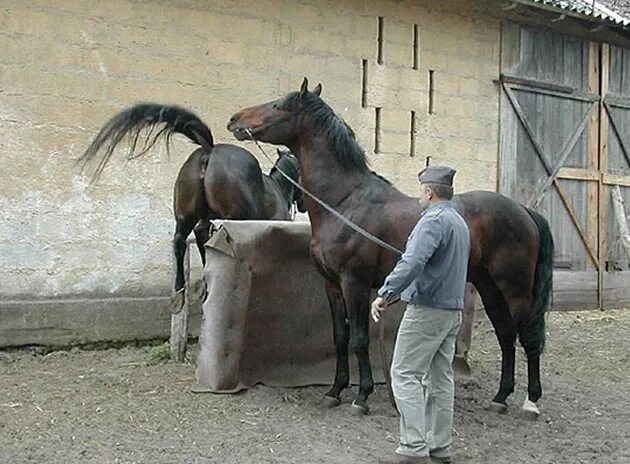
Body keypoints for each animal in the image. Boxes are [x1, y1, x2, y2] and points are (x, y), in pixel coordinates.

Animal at [79, 103, 306, 310]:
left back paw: (183, 291)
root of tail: (209, 150)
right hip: (234, 217)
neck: (278, 187)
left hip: (187, 214)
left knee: (185, 239)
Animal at [227, 79, 552, 416]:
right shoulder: (331, 285)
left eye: (279, 105)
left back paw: (531, 401)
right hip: (489, 286)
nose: (235, 120)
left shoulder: (354, 283)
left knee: (528, 337)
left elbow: (359, 339)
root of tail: (523, 211)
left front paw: (362, 395)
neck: (344, 202)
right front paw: (335, 391)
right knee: (505, 334)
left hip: (514, 288)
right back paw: (501, 397)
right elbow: (340, 337)